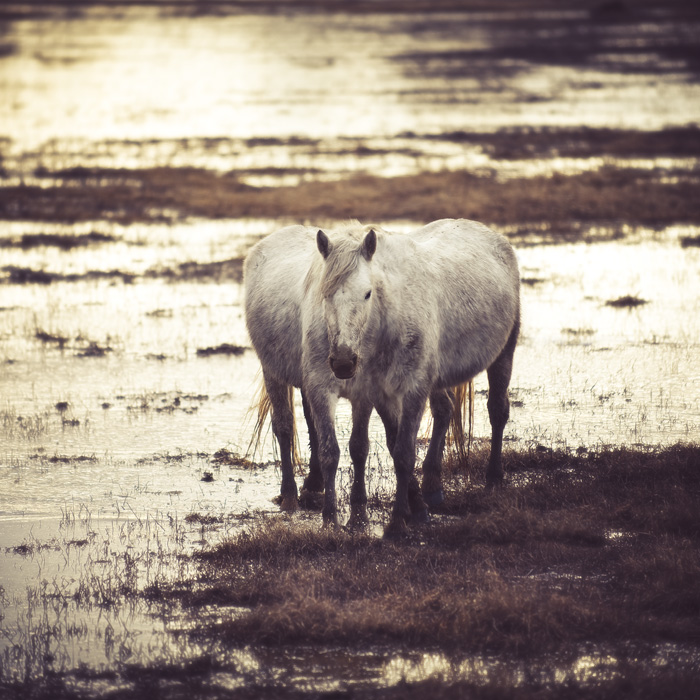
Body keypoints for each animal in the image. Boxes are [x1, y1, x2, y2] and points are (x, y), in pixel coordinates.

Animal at [243, 220, 516, 536]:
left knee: (494, 410)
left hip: (503, 353)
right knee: (285, 426)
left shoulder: (396, 389)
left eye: (367, 293)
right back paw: (291, 495)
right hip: (273, 371)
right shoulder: (331, 388)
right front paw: (333, 518)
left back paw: (489, 479)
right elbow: (332, 450)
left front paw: (391, 518)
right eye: (325, 293)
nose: (343, 362)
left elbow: (387, 450)